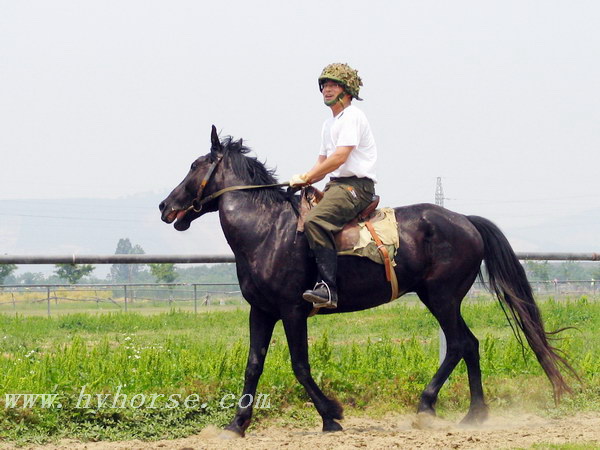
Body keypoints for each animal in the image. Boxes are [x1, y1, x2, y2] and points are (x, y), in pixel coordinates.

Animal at [161, 125, 576, 438]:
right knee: (470, 344)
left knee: (459, 344)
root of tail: (465, 221)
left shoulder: (293, 310)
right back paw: (475, 414)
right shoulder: (261, 311)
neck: (267, 231)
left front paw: (331, 415)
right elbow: (253, 365)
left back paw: (427, 406)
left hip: (440, 297)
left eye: (195, 165)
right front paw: (236, 425)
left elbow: (300, 365)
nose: (166, 207)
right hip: (441, 298)